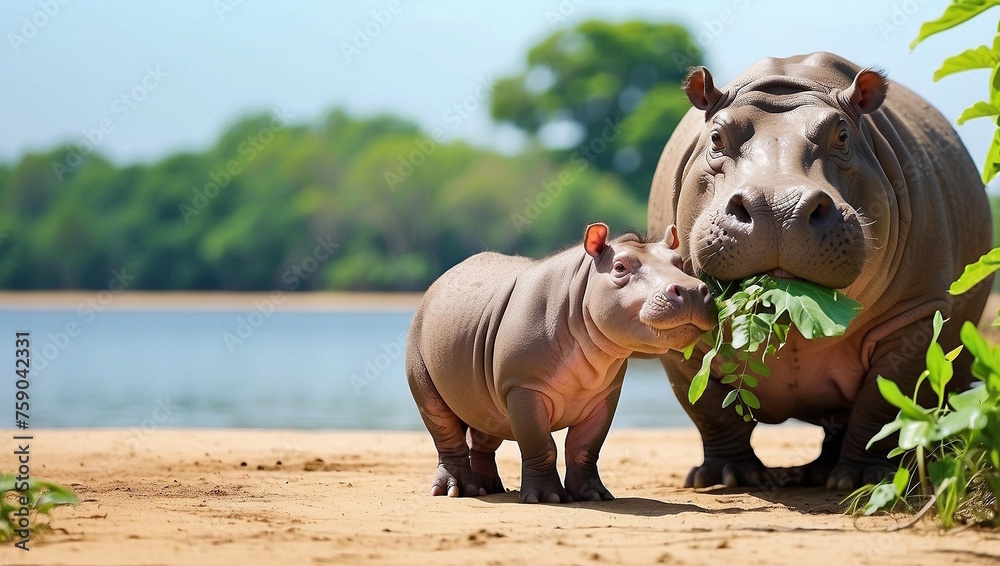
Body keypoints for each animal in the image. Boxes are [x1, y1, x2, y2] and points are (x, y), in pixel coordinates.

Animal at [406, 223, 717, 503]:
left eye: (680, 263)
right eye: (619, 267)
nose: (691, 290)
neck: (584, 286)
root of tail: (438, 282)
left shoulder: (603, 396)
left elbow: (585, 448)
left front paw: (595, 496)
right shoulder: (523, 387)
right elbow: (542, 444)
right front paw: (547, 498)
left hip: (483, 376)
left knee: (486, 424)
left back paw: (490, 489)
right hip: (420, 354)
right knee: (442, 426)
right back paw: (456, 491)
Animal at [648, 52, 993, 490]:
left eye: (843, 136)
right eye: (715, 138)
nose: (777, 205)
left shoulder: (915, 314)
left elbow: (883, 402)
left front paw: (864, 481)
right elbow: (708, 407)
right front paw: (729, 477)